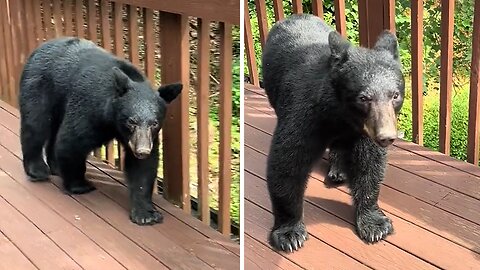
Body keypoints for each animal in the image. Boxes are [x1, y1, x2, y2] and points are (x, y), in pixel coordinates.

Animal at [18, 37, 182, 225]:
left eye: (154, 123)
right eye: (131, 121)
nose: (142, 150)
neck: (112, 117)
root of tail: (41, 46)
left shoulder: (145, 137)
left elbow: (143, 168)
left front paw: (145, 213)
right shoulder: (88, 108)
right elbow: (71, 141)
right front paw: (79, 185)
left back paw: (56, 167)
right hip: (39, 85)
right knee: (35, 124)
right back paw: (37, 170)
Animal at [262, 14, 404, 251]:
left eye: (395, 95)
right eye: (364, 98)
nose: (386, 137)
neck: (341, 116)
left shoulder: (364, 132)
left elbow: (369, 164)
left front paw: (375, 224)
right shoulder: (305, 115)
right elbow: (288, 162)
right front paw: (289, 233)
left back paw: (338, 169)